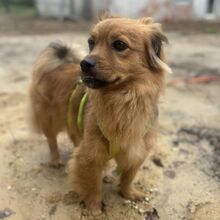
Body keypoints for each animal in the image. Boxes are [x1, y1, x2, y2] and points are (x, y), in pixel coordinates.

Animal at [28, 15, 170, 215]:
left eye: (119, 45)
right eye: (91, 42)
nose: (84, 63)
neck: (125, 100)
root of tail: (59, 65)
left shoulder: (137, 150)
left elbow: (128, 176)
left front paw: (128, 193)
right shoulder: (90, 156)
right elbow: (93, 186)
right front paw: (94, 209)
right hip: (49, 120)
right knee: (52, 140)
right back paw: (55, 160)